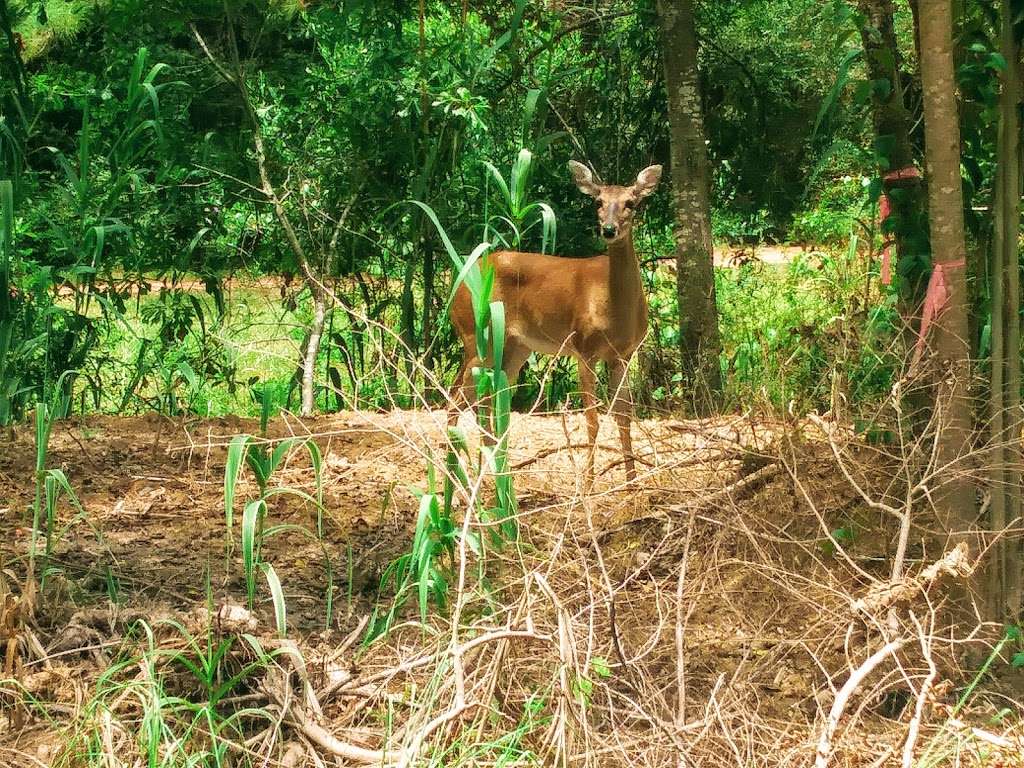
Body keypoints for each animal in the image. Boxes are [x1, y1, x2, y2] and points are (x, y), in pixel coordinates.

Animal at [450, 159, 663, 483]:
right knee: (459, 396)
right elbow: (592, 418)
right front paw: (588, 483)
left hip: (513, 347)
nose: (609, 229)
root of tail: (460, 282)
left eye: (631, 202)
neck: (614, 309)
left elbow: (624, 416)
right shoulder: (584, 348)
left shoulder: (624, 354)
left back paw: (496, 472)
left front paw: (631, 482)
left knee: (487, 399)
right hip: (476, 334)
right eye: (598, 202)